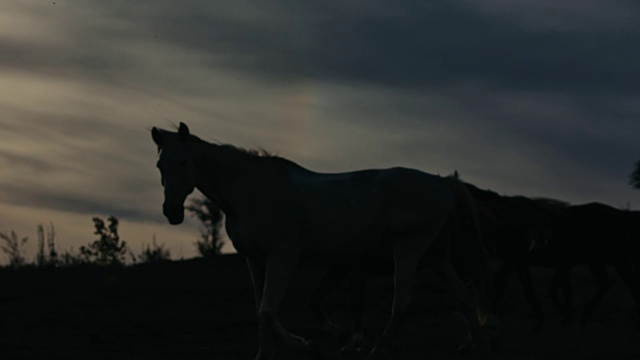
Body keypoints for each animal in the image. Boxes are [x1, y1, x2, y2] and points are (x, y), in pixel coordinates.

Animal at [152, 122, 492, 358]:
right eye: (159, 165)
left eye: (183, 162)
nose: (171, 212)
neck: (250, 190)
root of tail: (442, 183)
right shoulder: (255, 261)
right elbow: (261, 311)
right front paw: (266, 353)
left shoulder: (283, 259)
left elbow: (267, 311)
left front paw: (309, 345)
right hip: (435, 257)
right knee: (463, 296)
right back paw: (477, 345)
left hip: (408, 250)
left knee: (403, 303)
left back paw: (378, 349)